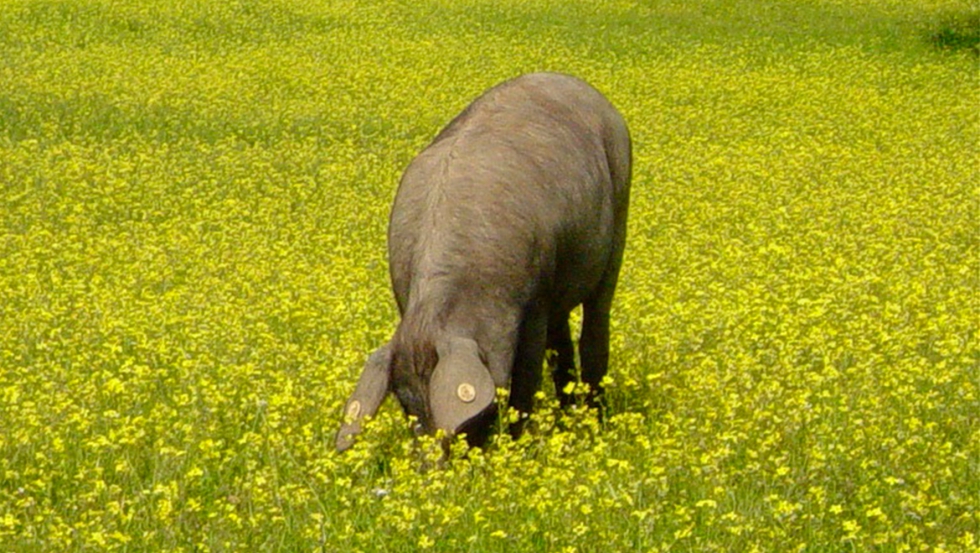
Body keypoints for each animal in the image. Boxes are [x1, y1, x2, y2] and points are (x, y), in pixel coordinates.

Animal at [334, 72, 632, 452]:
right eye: (407, 408)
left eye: (475, 415)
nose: (436, 465)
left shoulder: (534, 300)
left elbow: (526, 375)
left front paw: (518, 445)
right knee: (561, 340)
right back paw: (569, 414)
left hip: (619, 214)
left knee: (595, 322)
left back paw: (595, 418)